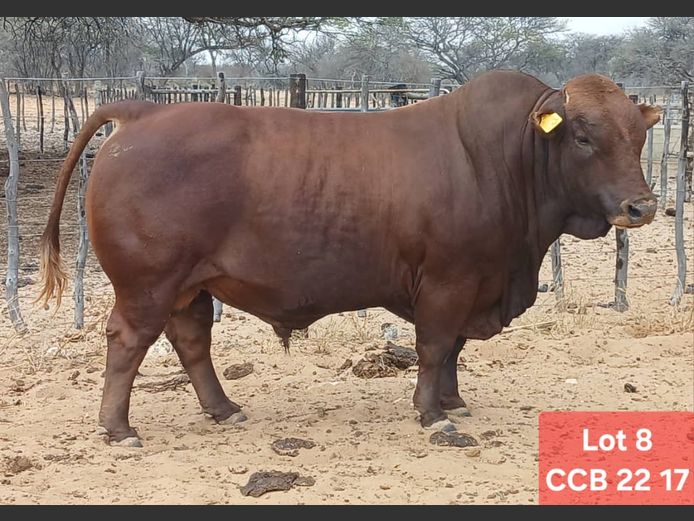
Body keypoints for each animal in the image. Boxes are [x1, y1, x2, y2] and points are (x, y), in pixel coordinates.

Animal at [37, 70, 660, 447]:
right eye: (582, 136)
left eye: (637, 137)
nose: (642, 205)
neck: (505, 160)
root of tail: (143, 112)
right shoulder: (448, 281)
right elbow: (434, 346)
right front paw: (432, 413)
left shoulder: (474, 283)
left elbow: (453, 350)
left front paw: (454, 401)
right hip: (148, 284)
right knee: (127, 342)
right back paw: (118, 428)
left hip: (192, 286)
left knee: (191, 341)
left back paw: (224, 408)